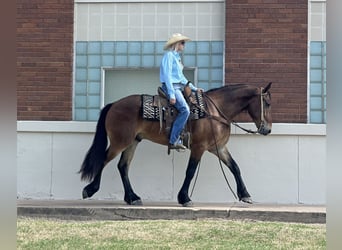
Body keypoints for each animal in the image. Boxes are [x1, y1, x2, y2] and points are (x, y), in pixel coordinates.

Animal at [79, 81, 272, 206]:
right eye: (267, 103)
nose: (268, 129)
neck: (214, 111)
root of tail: (113, 105)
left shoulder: (218, 148)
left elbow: (235, 167)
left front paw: (245, 195)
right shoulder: (199, 147)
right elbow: (190, 171)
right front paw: (184, 198)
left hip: (132, 142)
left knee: (123, 166)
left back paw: (132, 197)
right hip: (120, 141)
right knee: (104, 160)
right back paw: (90, 189)